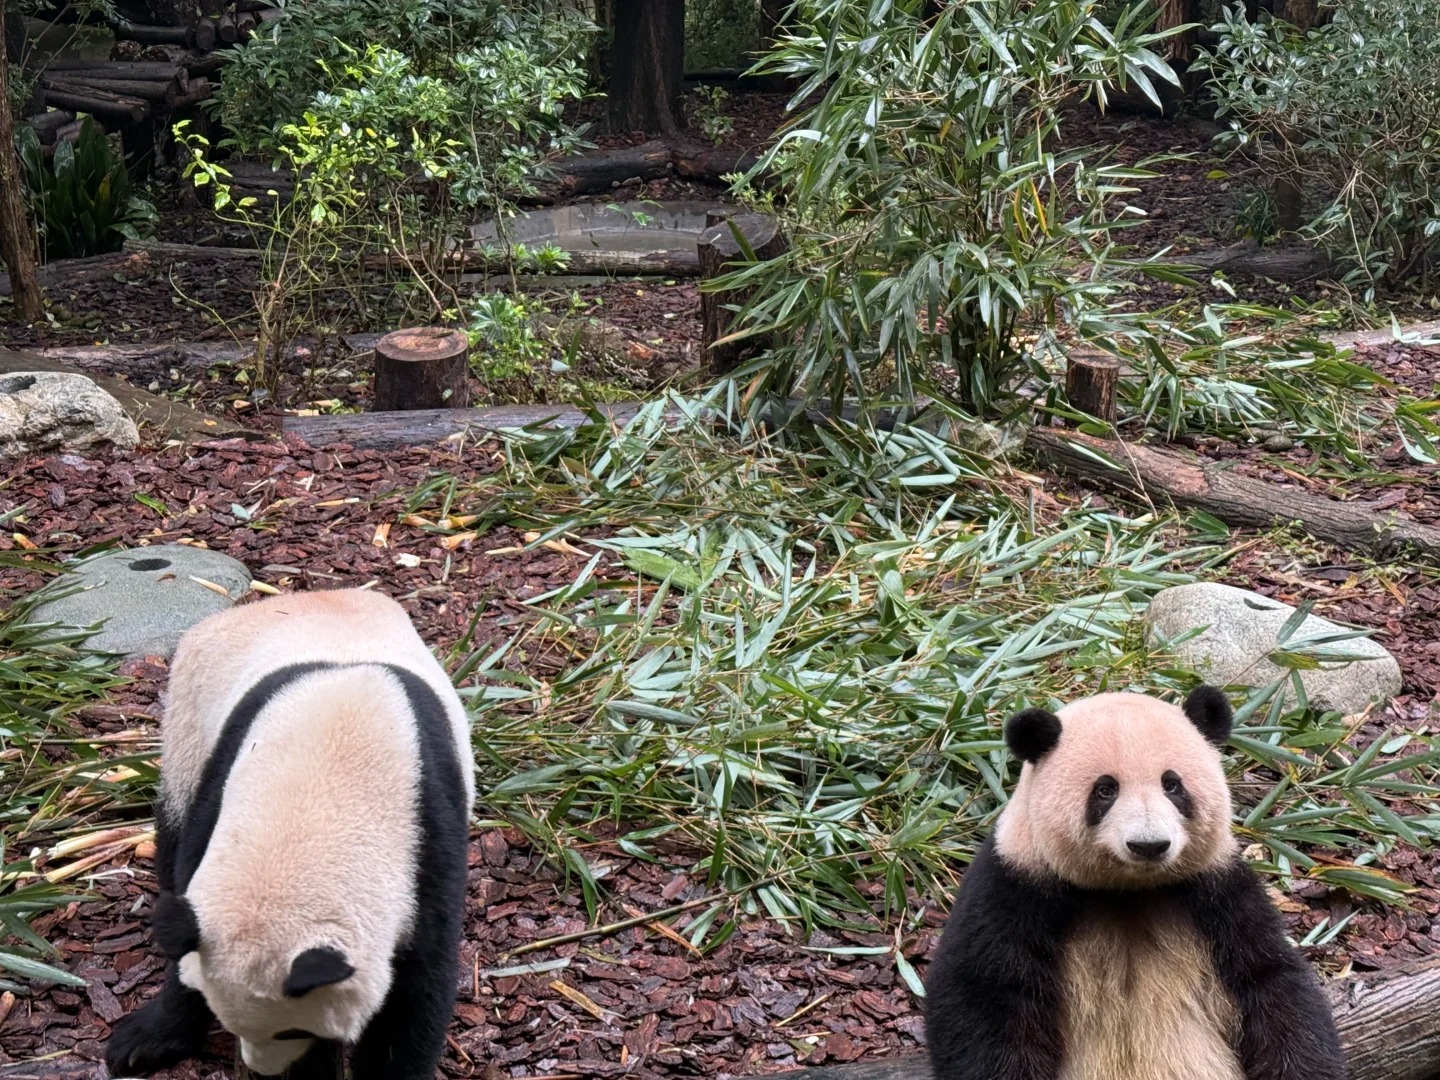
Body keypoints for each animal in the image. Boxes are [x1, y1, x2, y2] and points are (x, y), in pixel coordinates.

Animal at [105, 588, 476, 1079]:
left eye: (294, 1031)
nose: (262, 1067)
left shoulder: (427, 833)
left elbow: (416, 991)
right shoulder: (220, 784)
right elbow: (183, 913)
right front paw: (146, 1039)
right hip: (187, 723)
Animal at [924, 686, 1346, 1080]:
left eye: (1172, 785)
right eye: (1105, 789)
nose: (1149, 845)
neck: (1128, 890)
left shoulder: (1217, 890)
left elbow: (1271, 982)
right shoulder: (1016, 885)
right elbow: (987, 995)